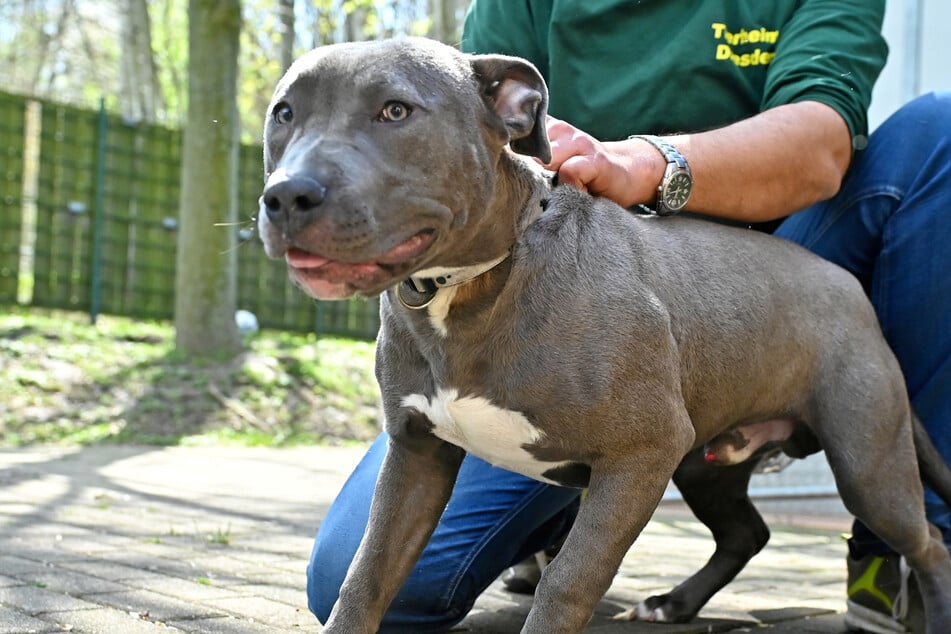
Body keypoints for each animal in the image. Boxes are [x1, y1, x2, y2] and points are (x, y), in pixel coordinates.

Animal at [256, 37, 948, 628]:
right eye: (284, 113)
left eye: (396, 110)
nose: (287, 196)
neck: (478, 283)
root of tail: (850, 289)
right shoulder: (417, 454)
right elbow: (366, 572)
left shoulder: (640, 453)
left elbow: (568, 581)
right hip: (707, 461)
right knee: (747, 532)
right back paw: (675, 604)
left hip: (867, 463)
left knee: (929, 543)